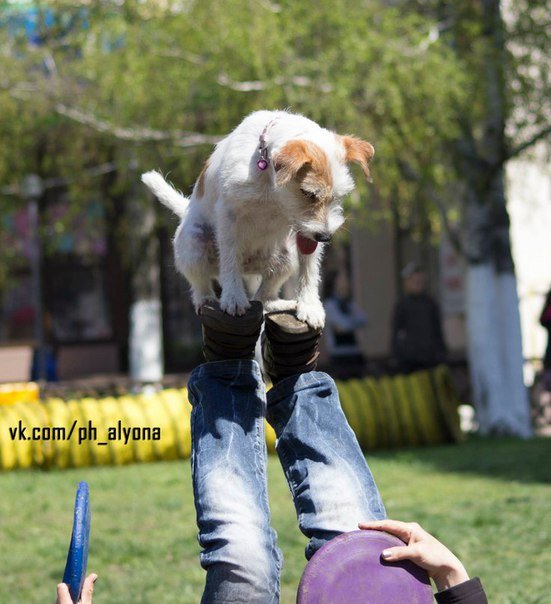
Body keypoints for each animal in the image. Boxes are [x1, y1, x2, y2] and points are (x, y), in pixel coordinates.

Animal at [142, 106, 376, 328]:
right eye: (309, 193)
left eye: (339, 196)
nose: (326, 237)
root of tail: (249, 266)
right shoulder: (228, 215)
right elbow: (229, 259)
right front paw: (233, 297)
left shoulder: (307, 235)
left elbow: (309, 268)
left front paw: (309, 306)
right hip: (195, 246)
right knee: (200, 284)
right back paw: (207, 299)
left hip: (287, 255)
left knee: (264, 296)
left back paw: (279, 303)